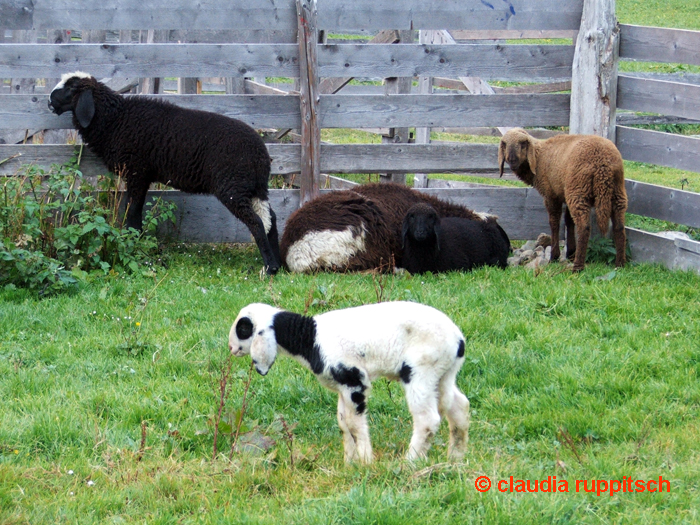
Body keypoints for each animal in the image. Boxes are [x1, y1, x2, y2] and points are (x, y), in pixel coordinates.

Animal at [47, 72, 284, 274]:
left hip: (233, 187)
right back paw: (279, 264)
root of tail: (261, 154)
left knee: (256, 222)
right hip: (253, 188)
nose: (49, 101)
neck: (116, 119)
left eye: (71, 88)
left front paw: (131, 242)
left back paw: (269, 268)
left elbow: (131, 210)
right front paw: (137, 239)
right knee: (270, 218)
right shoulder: (142, 175)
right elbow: (135, 209)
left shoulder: (137, 171)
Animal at [230, 298, 470, 462]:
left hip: (420, 369)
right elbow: (343, 423)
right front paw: (350, 463)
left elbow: (354, 424)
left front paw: (365, 461)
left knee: (427, 420)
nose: (231, 348)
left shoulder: (353, 379)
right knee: (459, 406)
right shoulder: (341, 386)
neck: (310, 339)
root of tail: (458, 340)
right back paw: (456, 457)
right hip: (443, 372)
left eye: (243, 329)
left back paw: (410, 462)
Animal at [498, 128, 628, 272]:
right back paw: (620, 264)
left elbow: (554, 223)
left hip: (578, 190)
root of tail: (603, 165)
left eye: (523, 144)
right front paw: (570, 253)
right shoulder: (565, 194)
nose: (512, 160)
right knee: (619, 226)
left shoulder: (551, 195)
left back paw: (577, 267)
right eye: (504, 144)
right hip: (615, 192)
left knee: (583, 227)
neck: (539, 157)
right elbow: (568, 221)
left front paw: (554, 256)